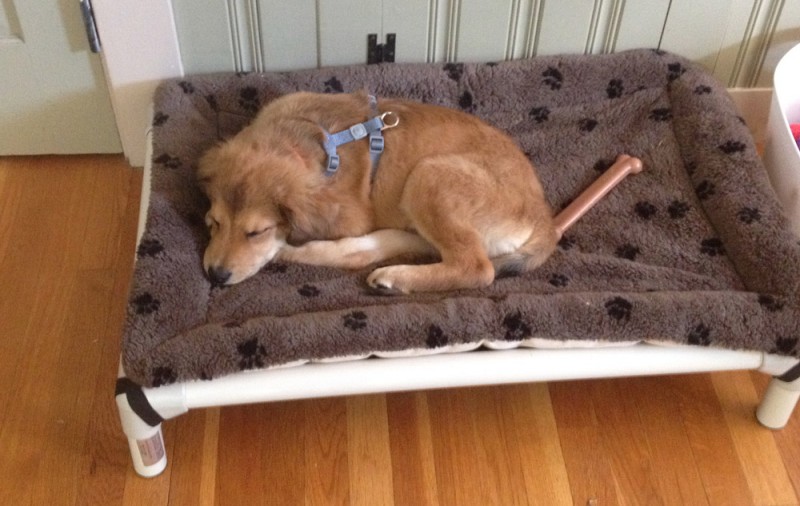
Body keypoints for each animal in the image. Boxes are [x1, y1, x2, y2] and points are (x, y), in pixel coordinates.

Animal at [198, 91, 556, 292]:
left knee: (478, 268)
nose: (215, 275)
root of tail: (545, 220)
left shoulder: (350, 216)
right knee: (366, 251)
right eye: (214, 223)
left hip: (428, 176)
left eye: (256, 232)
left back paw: (394, 278)